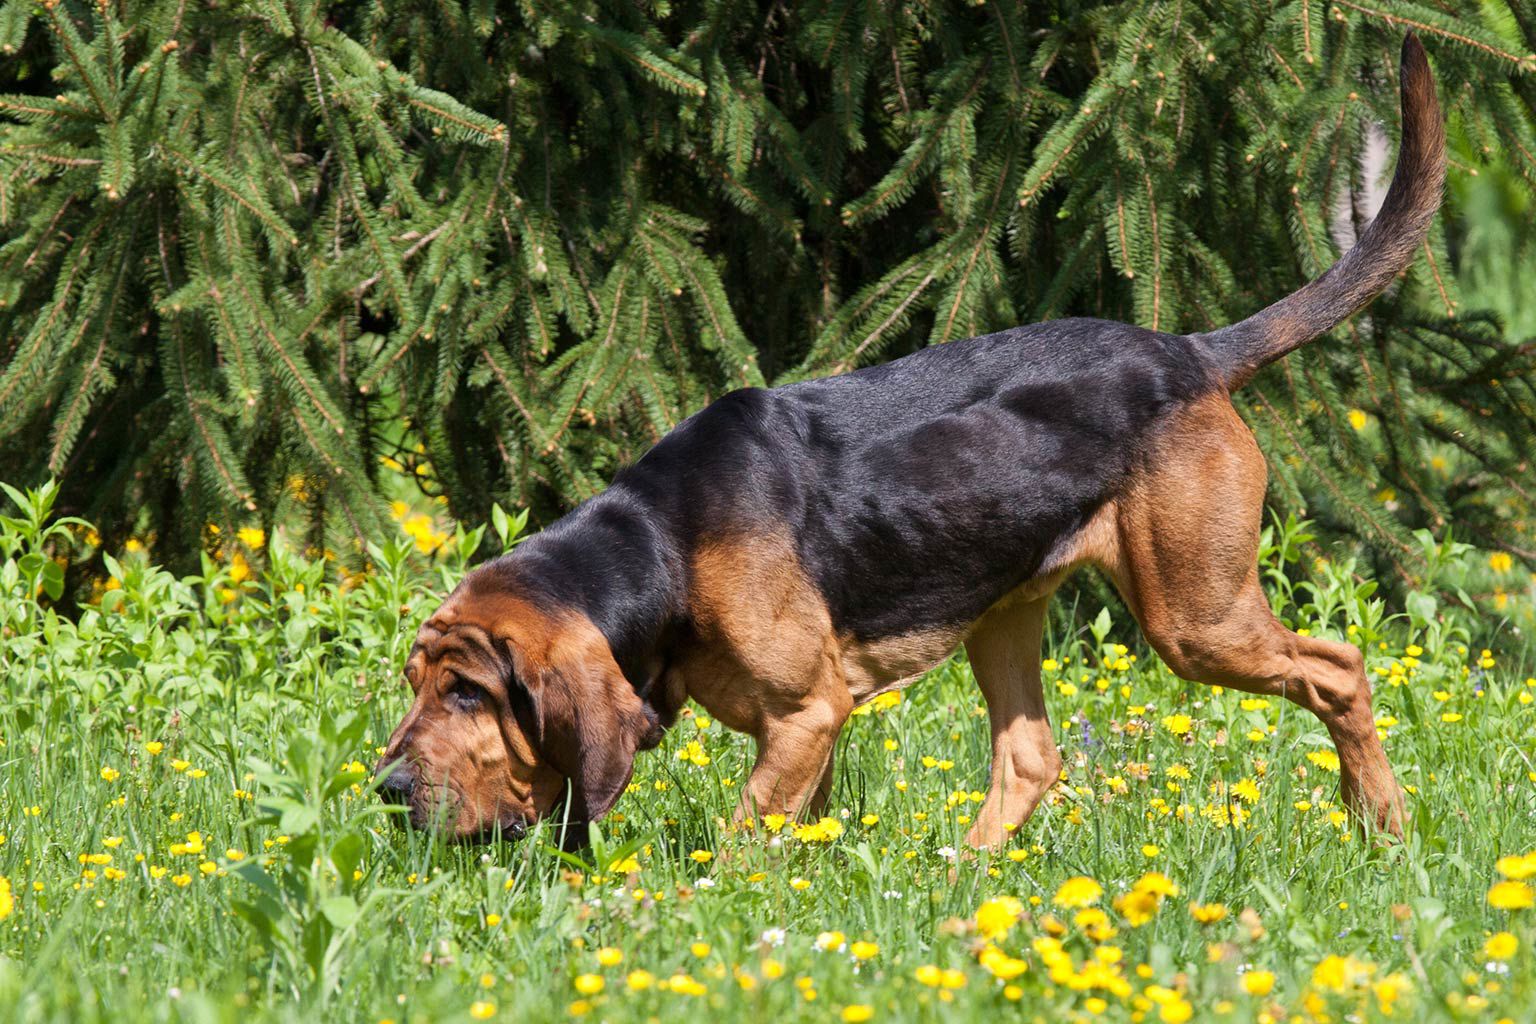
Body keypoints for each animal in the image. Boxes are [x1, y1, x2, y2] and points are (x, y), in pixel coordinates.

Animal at [377, 33, 1443, 847]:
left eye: (470, 693)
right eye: (419, 683)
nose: (385, 791)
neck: (661, 547)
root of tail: (1188, 351)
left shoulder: (808, 713)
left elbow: (743, 837)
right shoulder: (808, 728)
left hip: (1197, 617)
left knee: (1340, 671)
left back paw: (1383, 825)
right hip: (1005, 607)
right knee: (1031, 758)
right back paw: (966, 880)